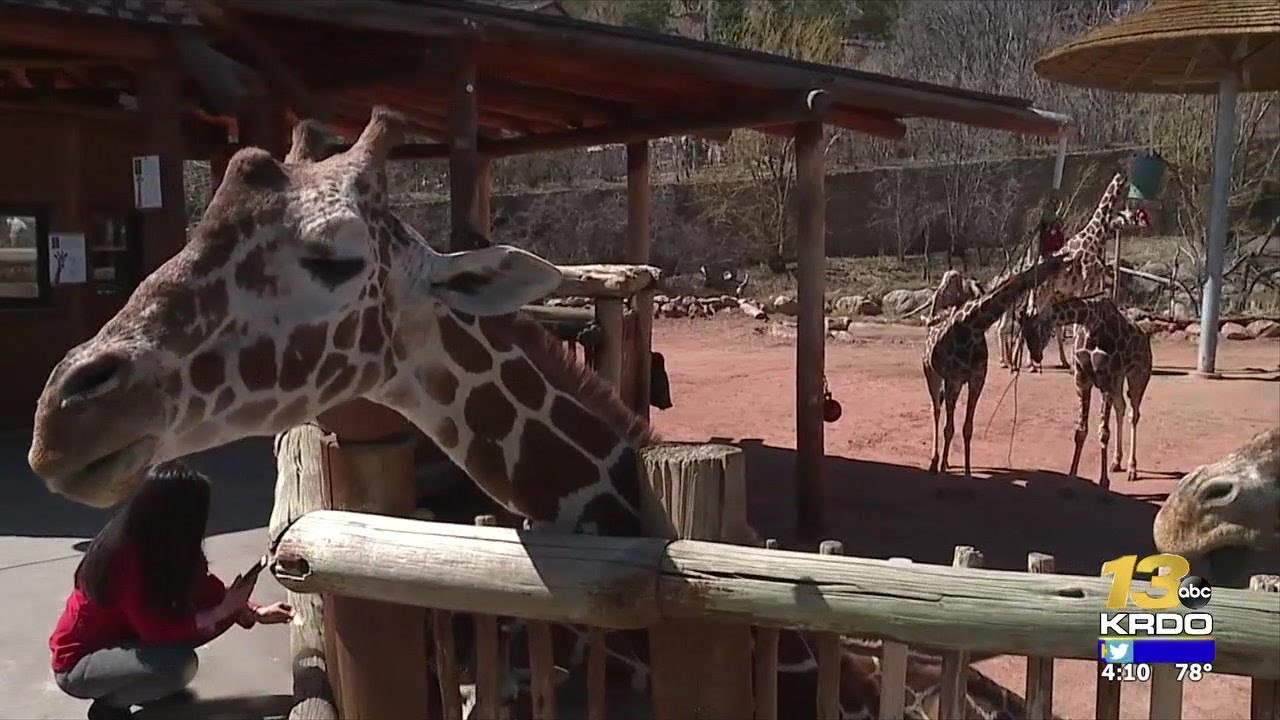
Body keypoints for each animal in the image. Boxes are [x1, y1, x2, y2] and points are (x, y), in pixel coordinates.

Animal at [923, 253, 1070, 476]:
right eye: (1054, 264)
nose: (1066, 260)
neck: (973, 326)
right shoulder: (954, 379)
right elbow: (949, 428)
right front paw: (942, 468)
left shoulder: (976, 380)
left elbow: (967, 428)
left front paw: (967, 472)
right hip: (932, 373)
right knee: (936, 411)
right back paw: (935, 463)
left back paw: (946, 462)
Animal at [1017, 296, 1152, 489]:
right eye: (1022, 329)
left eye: (1038, 327)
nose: (1036, 356)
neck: (1091, 323)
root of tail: (1144, 336)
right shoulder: (1082, 382)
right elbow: (1080, 432)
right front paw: (1070, 480)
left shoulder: (1106, 381)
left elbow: (1103, 433)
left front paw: (1104, 482)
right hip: (1119, 380)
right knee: (1121, 408)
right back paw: (1116, 462)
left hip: (1138, 375)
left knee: (1133, 414)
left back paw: (1132, 469)